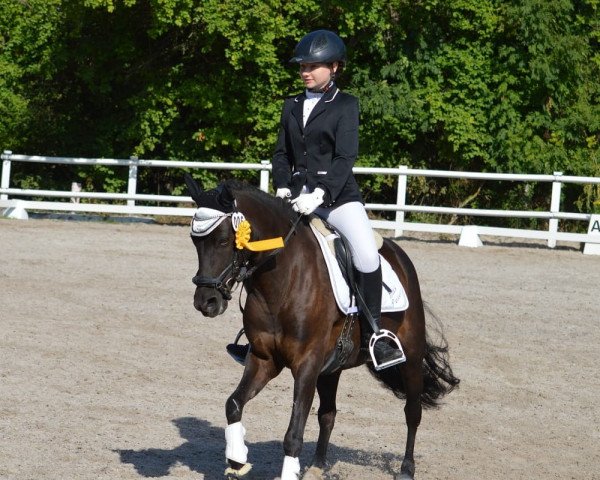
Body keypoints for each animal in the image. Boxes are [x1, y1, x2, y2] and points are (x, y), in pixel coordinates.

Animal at [186, 177, 460, 480]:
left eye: (224, 240)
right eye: (195, 241)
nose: (206, 302)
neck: (283, 282)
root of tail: (399, 256)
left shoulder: (306, 364)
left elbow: (293, 434)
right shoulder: (264, 359)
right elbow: (233, 404)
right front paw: (237, 459)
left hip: (410, 354)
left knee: (412, 411)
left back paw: (406, 469)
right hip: (332, 368)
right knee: (328, 414)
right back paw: (317, 467)